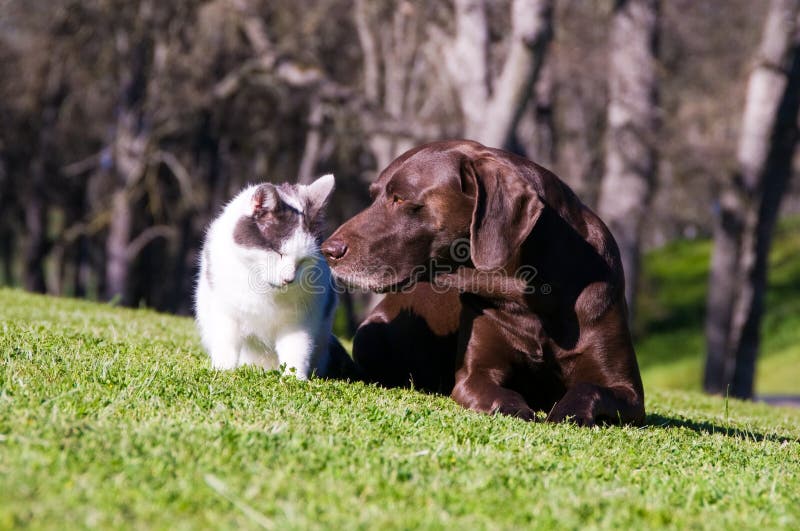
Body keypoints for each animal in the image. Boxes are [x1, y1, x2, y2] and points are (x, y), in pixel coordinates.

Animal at [194, 177, 354, 380]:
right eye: (278, 253)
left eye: (303, 261)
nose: (289, 279)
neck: (264, 289)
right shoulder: (226, 312)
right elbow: (226, 343)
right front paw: (223, 371)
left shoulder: (300, 320)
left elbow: (296, 349)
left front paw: (295, 379)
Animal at [322, 139, 648, 426]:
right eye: (373, 196)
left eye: (400, 198)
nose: (328, 250)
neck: (529, 296)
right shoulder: (474, 375)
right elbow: (501, 395)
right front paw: (518, 411)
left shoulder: (629, 391)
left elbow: (588, 388)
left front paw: (567, 414)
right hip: (369, 337)